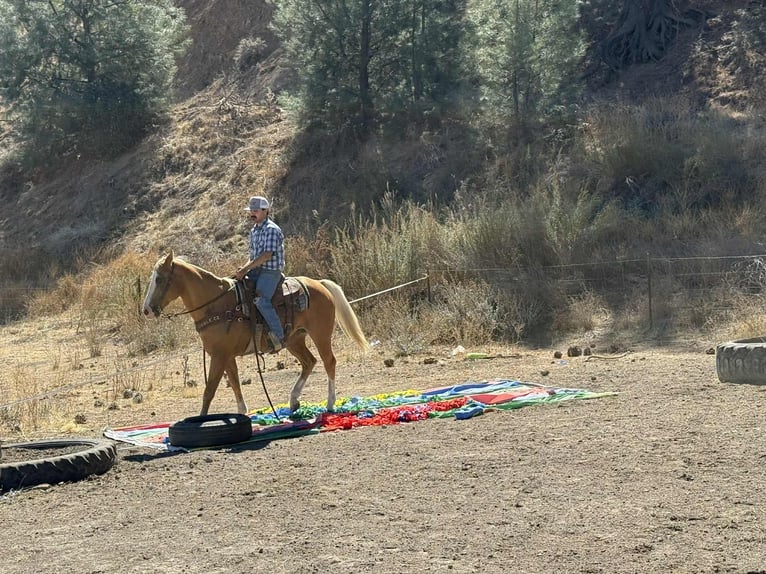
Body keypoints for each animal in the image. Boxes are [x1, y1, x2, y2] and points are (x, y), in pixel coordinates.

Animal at [141, 251, 369, 417]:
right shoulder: (226, 356)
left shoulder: (219, 356)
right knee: (309, 362)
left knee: (329, 362)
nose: (146, 310)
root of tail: (319, 284)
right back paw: (294, 401)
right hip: (295, 339)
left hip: (320, 335)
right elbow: (234, 384)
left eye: (159, 279)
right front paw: (242, 413)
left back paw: (329, 404)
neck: (216, 304)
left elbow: (209, 391)